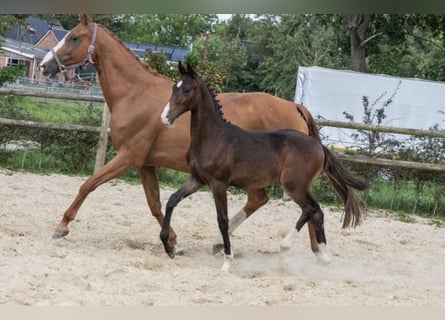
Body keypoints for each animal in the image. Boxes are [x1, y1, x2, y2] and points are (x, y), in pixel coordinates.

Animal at [39, 13, 326, 252]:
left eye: (74, 37)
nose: (44, 65)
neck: (135, 94)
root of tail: (295, 106)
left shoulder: (129, 157)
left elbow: (88, 184)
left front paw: (61, 227)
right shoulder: (145, 164)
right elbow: (155, 203)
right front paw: (174, 242)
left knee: (303, 208)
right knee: (268, 201)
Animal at [160, 63, 368, 272]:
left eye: (187, 90)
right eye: (174, 88)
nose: (165, 117)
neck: (214, 138)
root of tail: (320, 147)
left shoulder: (219, 183)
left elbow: (223, 220)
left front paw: (227, 262)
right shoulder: (197, 179)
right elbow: (172, 200)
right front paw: (168, 247)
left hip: (293, 186)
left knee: (311, 208)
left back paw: (285, 249)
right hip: (300, 186)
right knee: (316, 212)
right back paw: (323, 256)